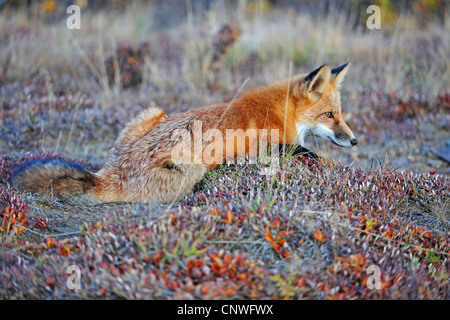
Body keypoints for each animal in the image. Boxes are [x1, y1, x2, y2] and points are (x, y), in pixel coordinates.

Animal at [10, 64, 356, 204]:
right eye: (329, 115)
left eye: (339, 113)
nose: (354, 140)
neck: (280, 111)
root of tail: (110, 175)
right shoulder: (264, 148)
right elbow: (306, 153)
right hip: (193, 167)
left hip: (149, 112)